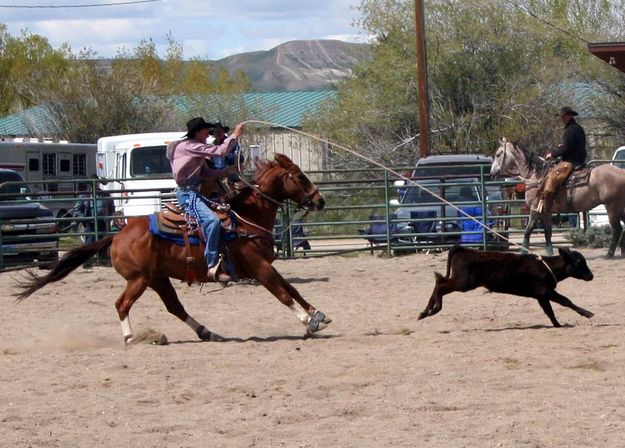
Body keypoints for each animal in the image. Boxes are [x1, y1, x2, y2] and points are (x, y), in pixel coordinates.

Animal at [13, 154, 332, 344]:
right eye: (299, 176)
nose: (320, 201)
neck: (245, 218)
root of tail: (116, 236)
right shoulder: (258, 267)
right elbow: (282, 293)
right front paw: (308, 321)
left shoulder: (266, 266)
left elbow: (292, 288)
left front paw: (318, 315)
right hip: (139, 279)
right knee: (122, 304)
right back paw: (131, 338)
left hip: (158, 278)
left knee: (174, 307)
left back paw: (207, 332)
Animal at [490, 136, 624, 258]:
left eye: (498, 154)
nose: (492, 173)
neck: (536, 176)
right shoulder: (545, 211)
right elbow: (547, 233)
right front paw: (550, 253)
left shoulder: (534, 209)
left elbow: (528, 231)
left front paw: (523, 253)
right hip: (618, 207)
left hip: (611, 207)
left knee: (617, 228)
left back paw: (610, 253)